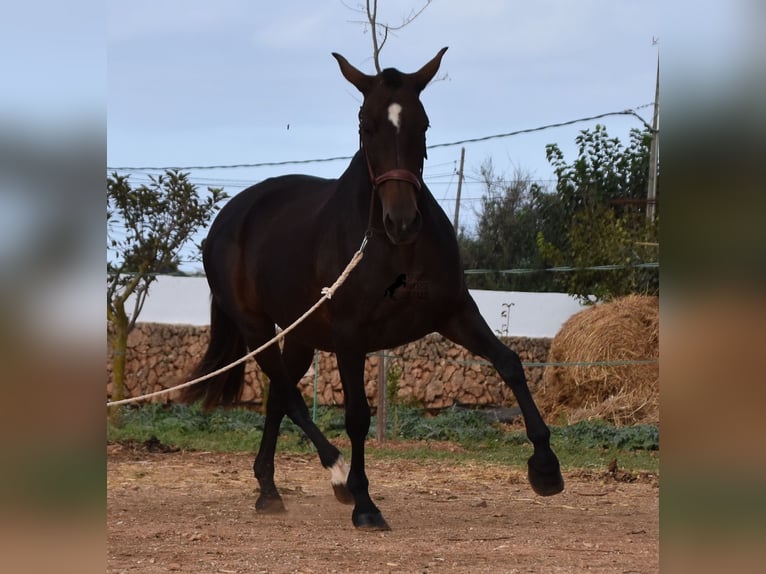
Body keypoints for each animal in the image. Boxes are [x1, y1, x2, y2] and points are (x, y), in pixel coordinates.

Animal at [181, 49, 564, 532]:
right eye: (365, 125)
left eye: (423, 123)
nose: (401, 222)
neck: (394, 251)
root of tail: (230, 216)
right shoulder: (350, 336)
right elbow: (358, 416)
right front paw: (365, 502)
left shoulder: (454, 312)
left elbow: (510, 364)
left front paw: (546, 468)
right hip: (256, 329)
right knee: (290, 397)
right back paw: (337, 476)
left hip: (300, 333)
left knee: (277, 399)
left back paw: (269, 490)